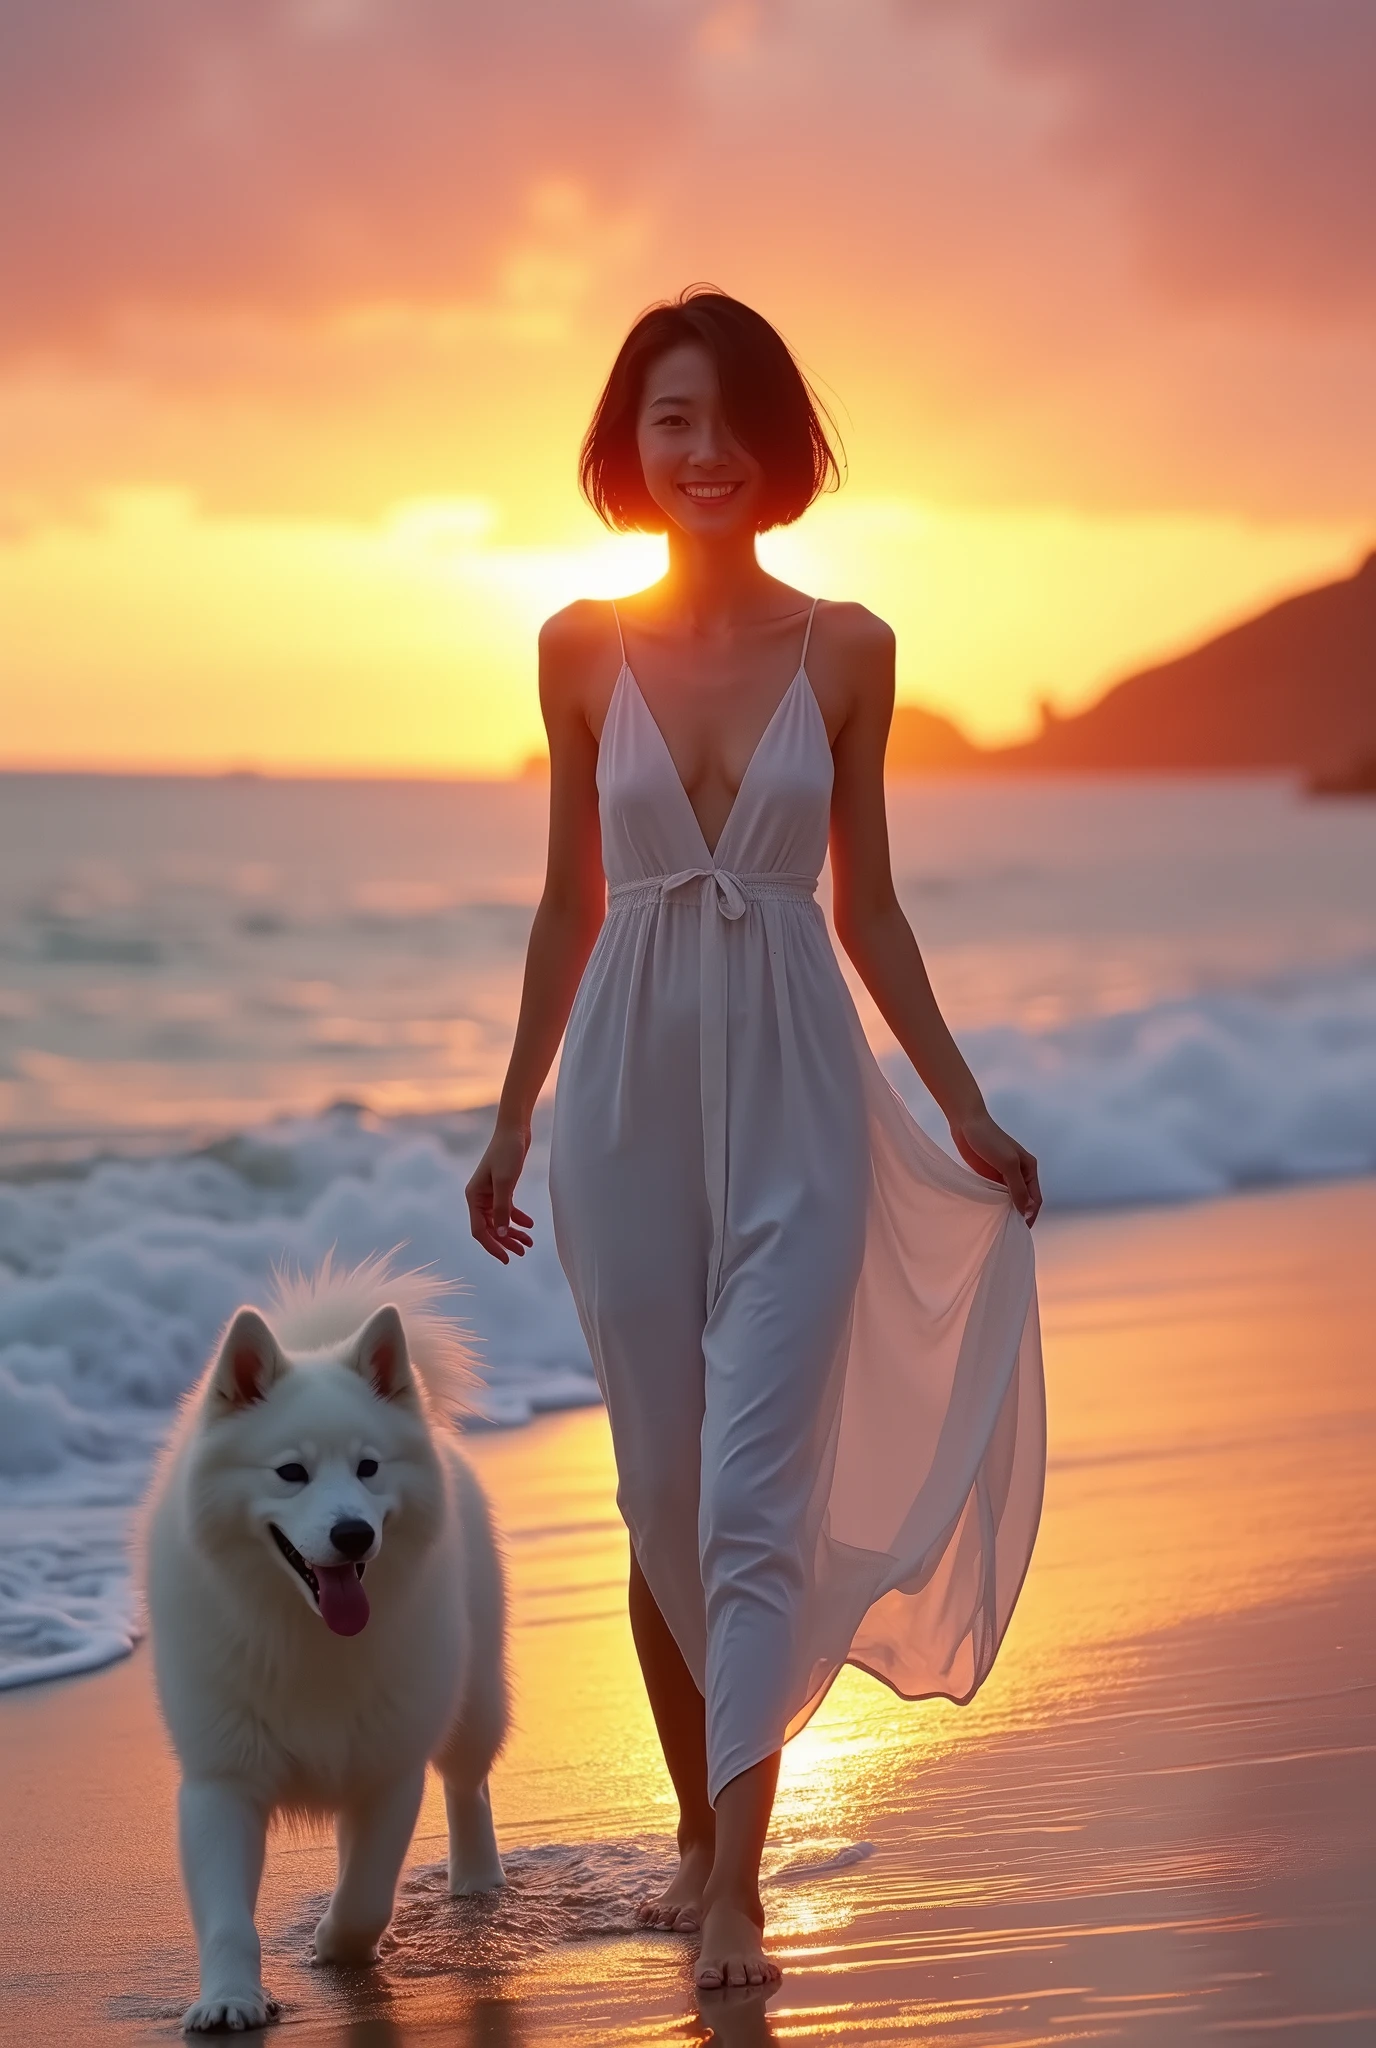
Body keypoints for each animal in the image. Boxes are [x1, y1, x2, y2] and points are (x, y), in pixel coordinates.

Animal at [142, 1253, 507, 2023]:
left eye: (368, 1467)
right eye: (291, 1472)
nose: (353, 1534)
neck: (304, 1633)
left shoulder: (389, 1770)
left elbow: (368, 1893)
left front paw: (336, 1947)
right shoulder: (222, 1780)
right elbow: (227, 1918)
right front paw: (229, 2000)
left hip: (474, 1699)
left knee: (468, 1786)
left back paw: (476, 1880)